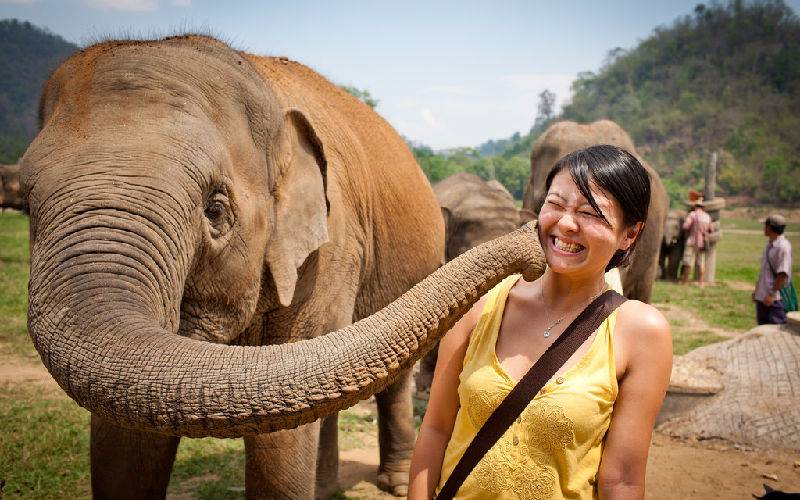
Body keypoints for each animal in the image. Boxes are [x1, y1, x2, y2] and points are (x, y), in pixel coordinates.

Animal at [20, 34, 457, 499]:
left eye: (215, 210)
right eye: (26, 204)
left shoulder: (333, 248)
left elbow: (284, 415)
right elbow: (123, 427)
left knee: (393, 380)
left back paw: (395, 482)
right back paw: (324, 488)